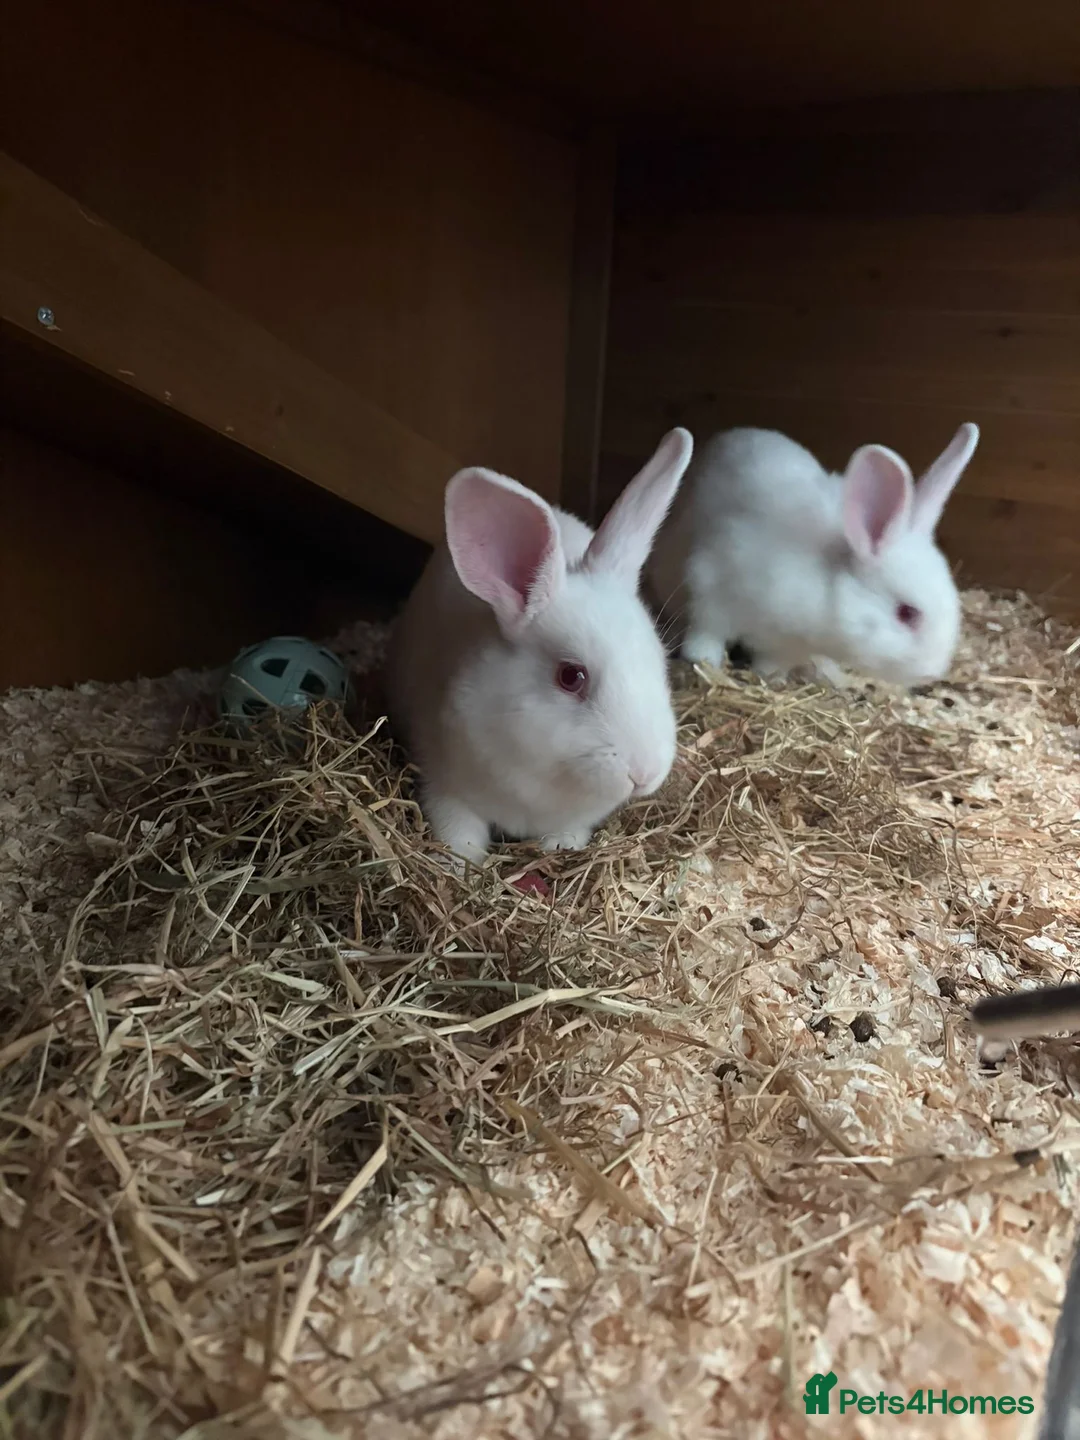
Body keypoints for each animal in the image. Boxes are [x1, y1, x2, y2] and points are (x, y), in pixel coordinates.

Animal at [384, 428, 695, 865]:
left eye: (659, 665)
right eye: (571, 676)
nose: (644, 773)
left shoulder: (575, 820)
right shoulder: (444, 786)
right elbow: (458, 834)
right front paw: (459, 865)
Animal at [645, 421, 980, 689]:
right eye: (907, 613)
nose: (932, 673)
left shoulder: (781, 646)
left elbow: (771, 663)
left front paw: (771, 678)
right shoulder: (710, 584)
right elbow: (707, 632)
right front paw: (704, 660)